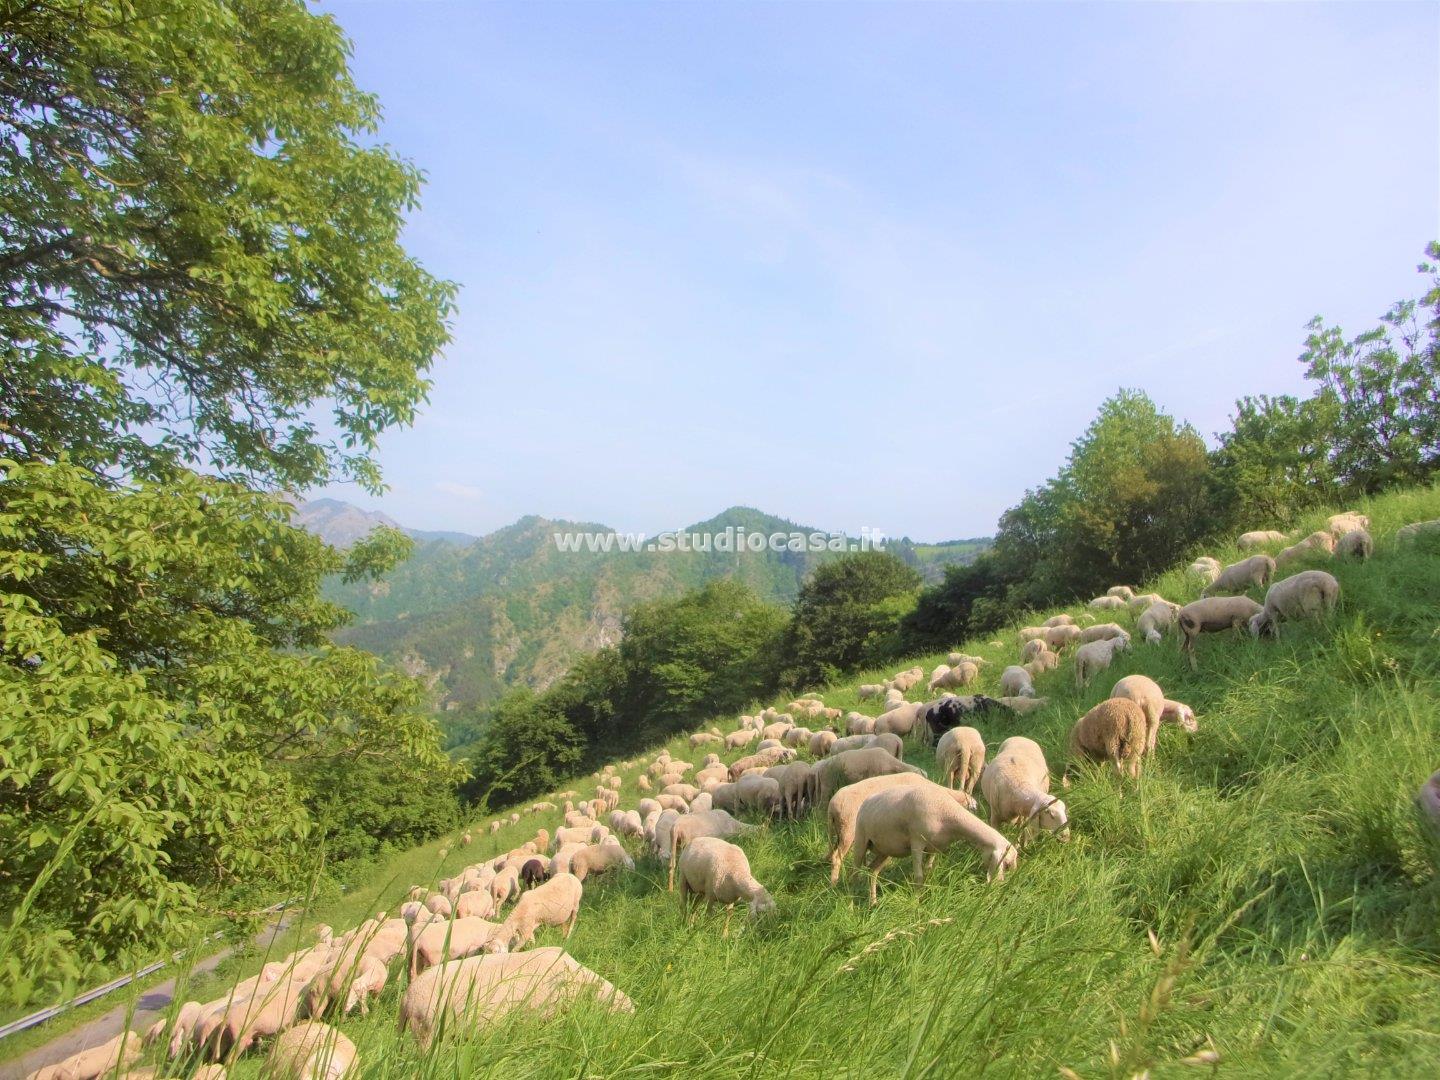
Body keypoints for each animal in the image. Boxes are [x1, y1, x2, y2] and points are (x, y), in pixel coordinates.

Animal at [846, 789, 1019, 904]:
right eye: (1007, 864)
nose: (1008, 886)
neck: (948, 814)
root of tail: (868, 800)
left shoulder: (934, 847)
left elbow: (928, 871)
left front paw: (925, 897)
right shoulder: (917, 842)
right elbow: (919, 876)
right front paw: (916, 903)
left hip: (885, 849)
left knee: (873, 870)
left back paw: (873, 902)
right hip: (861, 838)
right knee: (854, 871)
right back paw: (852, 900)